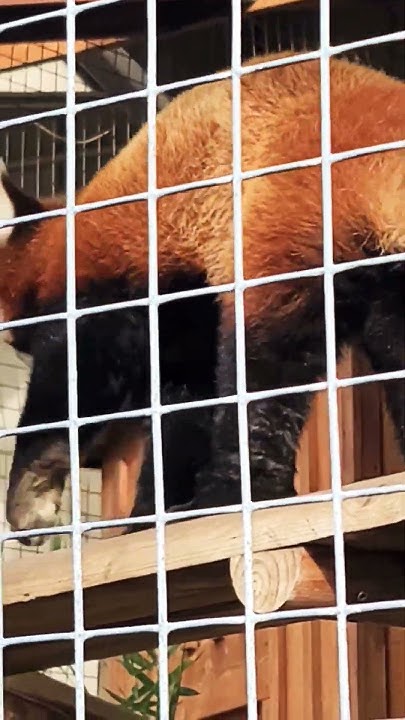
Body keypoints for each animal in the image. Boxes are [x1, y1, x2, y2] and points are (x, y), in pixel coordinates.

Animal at [0, 50, 403, 543]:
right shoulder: (184, 321)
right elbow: (183, 409)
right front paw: (147, 514)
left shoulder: (114, 288)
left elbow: (73, 384)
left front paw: (31, 490)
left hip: (284, 221)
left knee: (262, 371)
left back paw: (231, 494)